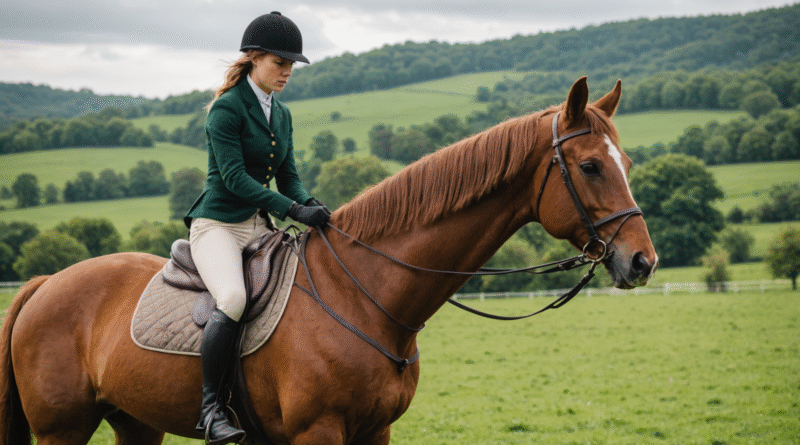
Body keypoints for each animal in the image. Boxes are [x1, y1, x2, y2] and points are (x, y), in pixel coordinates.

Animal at [0, 77, 657, 445]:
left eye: (624, 160)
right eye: (591, 166)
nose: (642, 262)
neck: (366, 296)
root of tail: (45, 283)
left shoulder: (376, 431)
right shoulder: (318, 431)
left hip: (136, 421)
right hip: (61, 428)